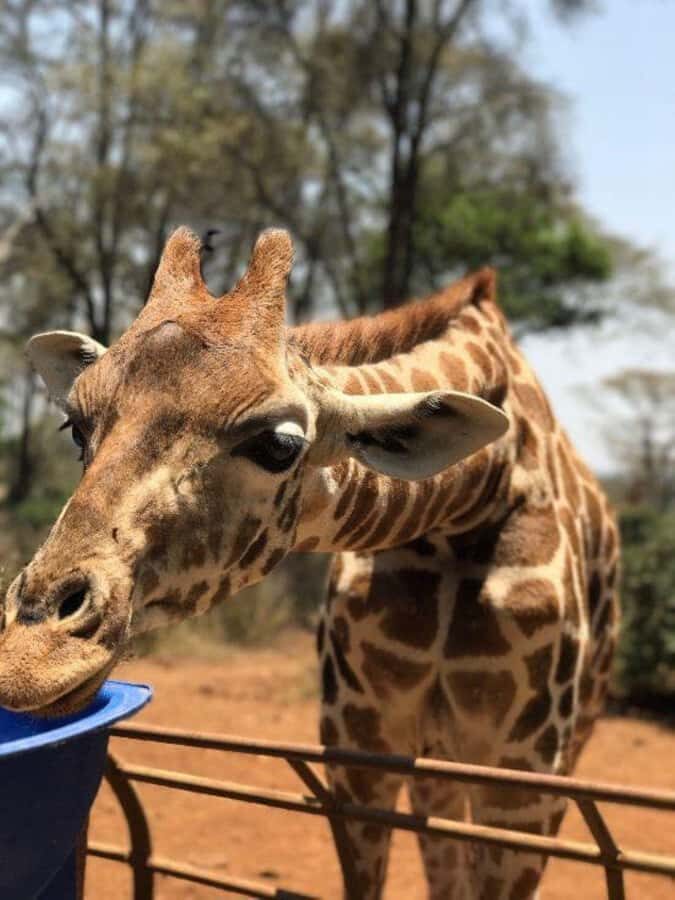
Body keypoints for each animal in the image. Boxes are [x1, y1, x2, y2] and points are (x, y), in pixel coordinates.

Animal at [0, 227, 619, 900]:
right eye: (75, 426)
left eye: (279, 445)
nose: (30, 659)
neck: (462, 512)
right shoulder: (358, 745)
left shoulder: (526, 777)